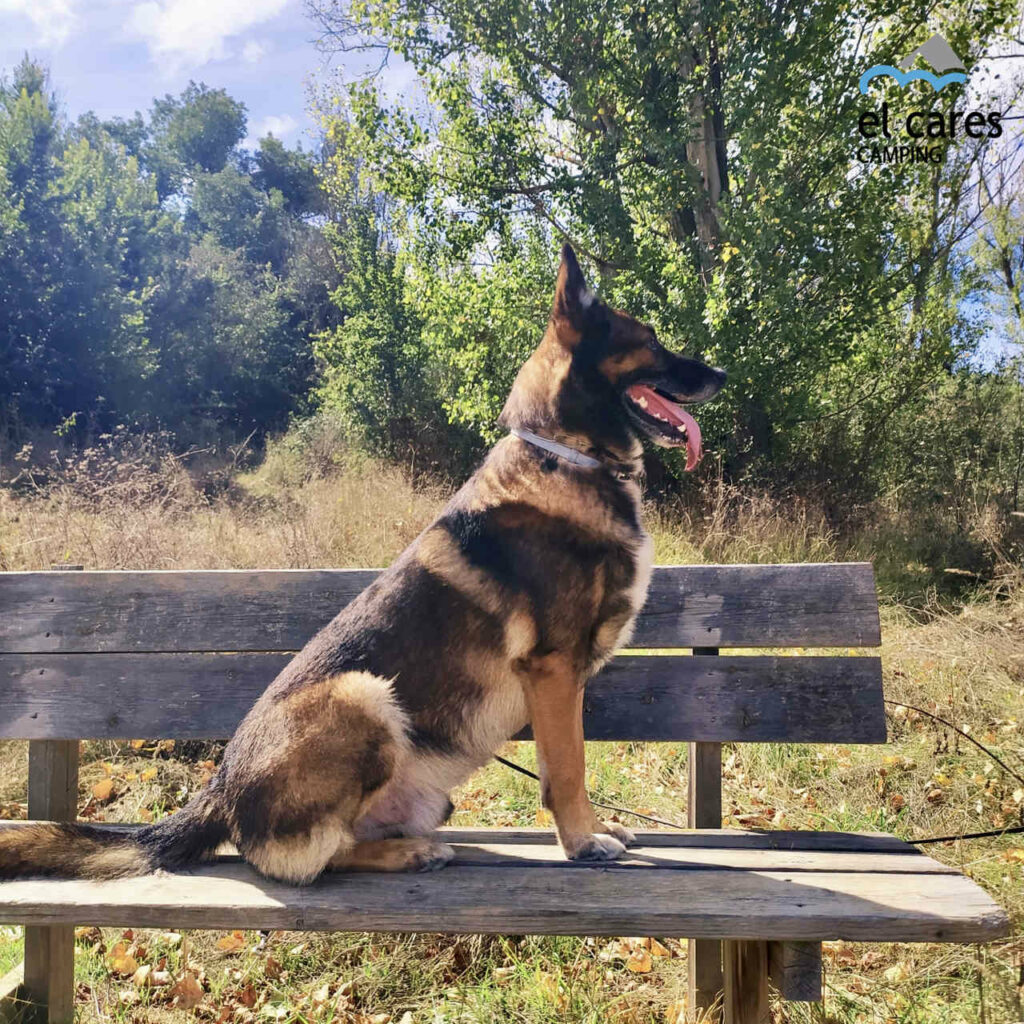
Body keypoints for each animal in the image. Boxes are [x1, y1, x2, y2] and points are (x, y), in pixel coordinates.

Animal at [0, 245, 724, 880]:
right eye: (649, 340)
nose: (719, 375)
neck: (566, 454)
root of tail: (218, 793)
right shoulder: (552, 672)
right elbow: (567, 770)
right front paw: (582, 842)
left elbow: (568, 767)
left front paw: (598, 829)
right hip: (364, 694)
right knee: (313, 859)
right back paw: (409, 854)